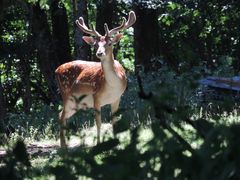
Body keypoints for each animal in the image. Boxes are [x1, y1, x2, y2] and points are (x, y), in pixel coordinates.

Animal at [55, 10, 136, 147]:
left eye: (109, 43)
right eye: (96, 44)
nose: (99, 53)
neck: (113, 86)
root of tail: (56, 70)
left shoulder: (117, 98)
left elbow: (114, 121)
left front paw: (116, 143)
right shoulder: (96, 96)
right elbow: (98, 122)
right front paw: (98, 144)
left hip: (75, 104)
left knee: (61, 115)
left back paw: (65, 145)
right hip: (65, 94)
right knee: (61, 116)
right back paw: (63, 147)